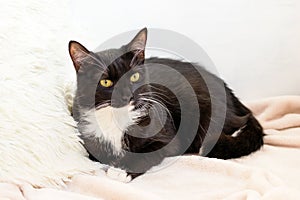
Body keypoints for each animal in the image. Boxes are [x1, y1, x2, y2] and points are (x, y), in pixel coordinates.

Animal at [69, 27, 264, 181]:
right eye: (106, 82)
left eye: (134, 77)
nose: (128, 96)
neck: (116, 116)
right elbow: (95, 154)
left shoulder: (167, 135)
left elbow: (149, 152)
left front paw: (121, 171)